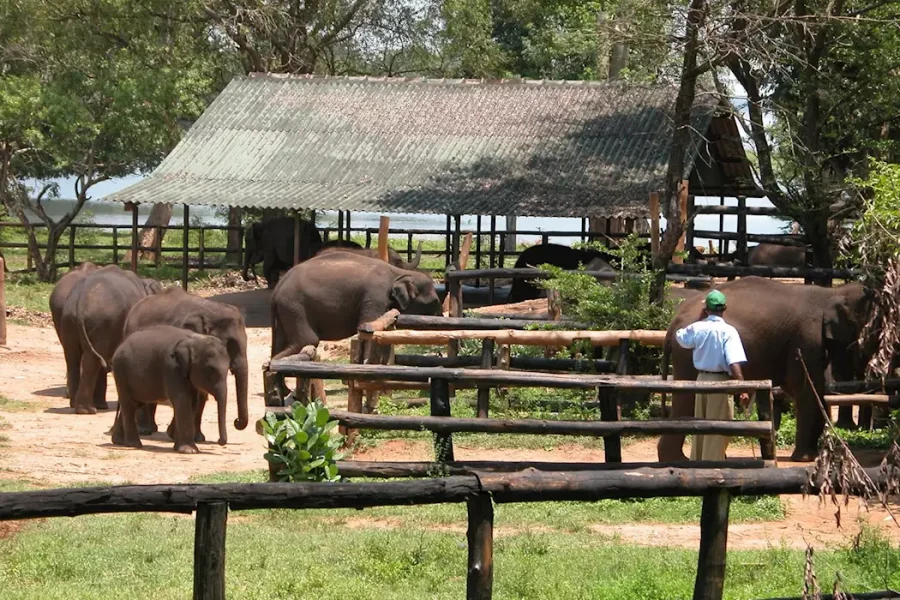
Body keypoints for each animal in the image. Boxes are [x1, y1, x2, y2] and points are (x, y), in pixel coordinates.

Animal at [60, 266, 163, 412]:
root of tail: (80, 302)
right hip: (101, 322)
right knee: (92, 360)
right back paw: (87, 410)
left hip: (69, 321)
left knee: (73, 357)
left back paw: (77, 405)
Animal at [121, 286, 250, 440]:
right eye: (229, 344)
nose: (236, 422)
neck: (210, 310)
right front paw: (174, 434)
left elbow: (200, 392)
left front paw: (198, 438)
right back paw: (145, 430)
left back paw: (153, 428)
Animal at [272, 251, 444, 358]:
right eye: (435, 301)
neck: (397, 272)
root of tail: (277, 287)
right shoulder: (375, 295)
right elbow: (365, 326)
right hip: (295, 307)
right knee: (307, 341)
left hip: (285, 311)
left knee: (280, 343)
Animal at [652, 278, 872, 464]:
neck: (833, 292)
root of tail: (672, 327)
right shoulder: (806, 338)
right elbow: (806, 389)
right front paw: (806, 459)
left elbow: (808, 389)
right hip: (687, 357)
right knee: (687, 400)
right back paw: (678, 461)